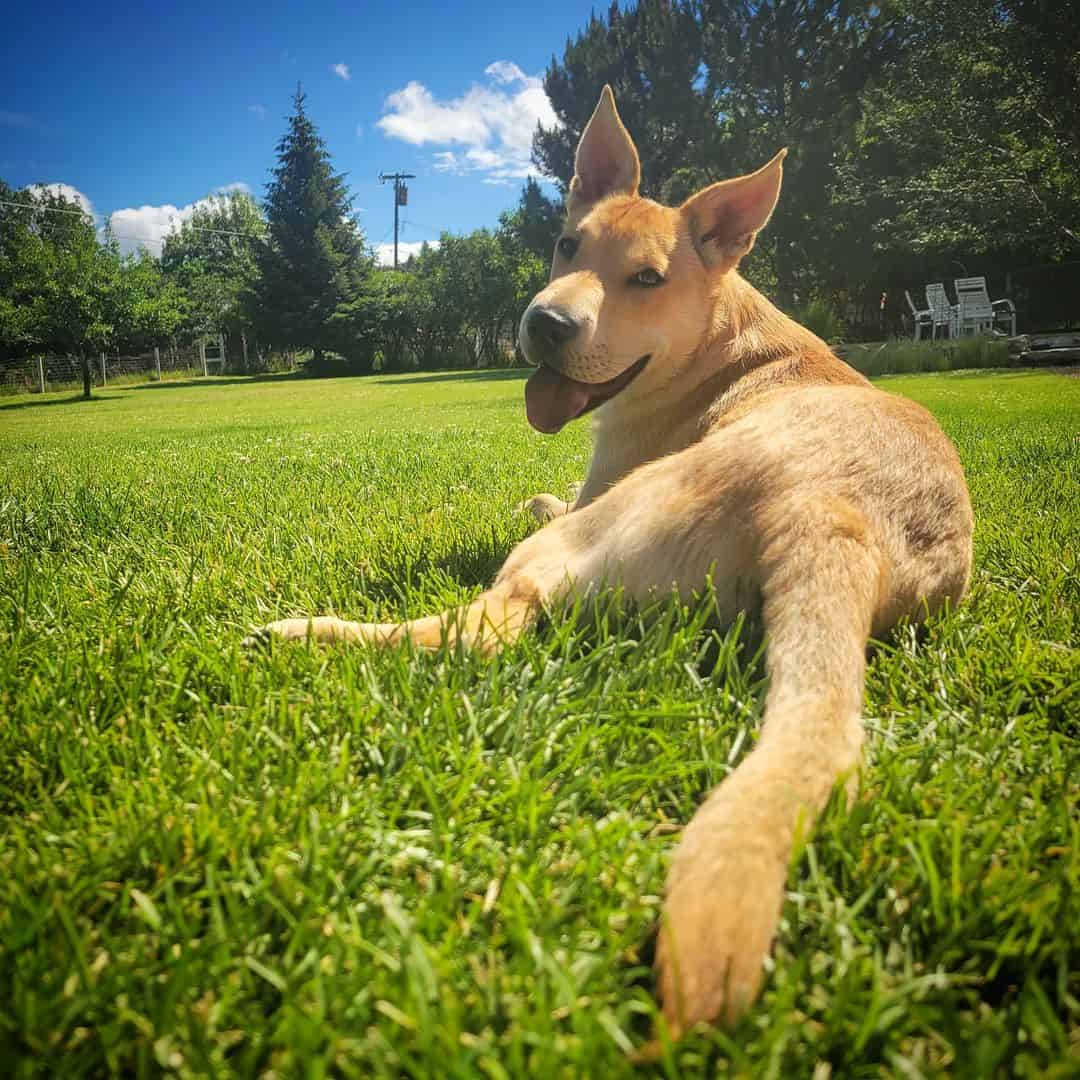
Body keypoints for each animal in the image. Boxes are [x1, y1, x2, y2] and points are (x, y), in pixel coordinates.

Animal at [248, 88, 976, 1041]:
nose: (546, 324)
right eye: (566, 245)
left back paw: (305, 633)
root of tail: (837, 516)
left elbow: (539, 504)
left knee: (483, 628)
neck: (718, 342)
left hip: (591, 536)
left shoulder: (592, 491)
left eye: (648, 280)